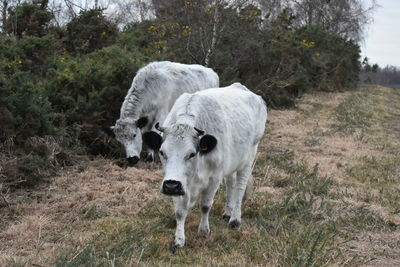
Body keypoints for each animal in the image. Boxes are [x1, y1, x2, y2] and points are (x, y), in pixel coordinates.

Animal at [142, 82, 268, 250]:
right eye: (162, 152)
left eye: (191, 154)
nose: (171, 186)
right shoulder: (179, 183)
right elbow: (180, 212)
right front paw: (179, 240)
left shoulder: (214, 177)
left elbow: (205, 205)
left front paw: (203, 230)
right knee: (231, 183)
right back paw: (228, 212)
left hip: (249, 157)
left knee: (240, 187)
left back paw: (235, 219)